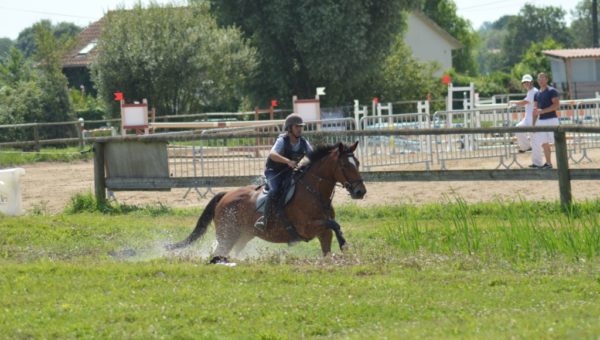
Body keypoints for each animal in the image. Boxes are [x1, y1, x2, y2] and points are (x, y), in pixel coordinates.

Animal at [166, 141, 368, 262]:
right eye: (344, 165)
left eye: (357, 163)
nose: (360, 191)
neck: (315, 192)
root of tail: (225, 195)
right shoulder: (307, 227)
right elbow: (334, 223)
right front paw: (344, 244)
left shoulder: (323, 233)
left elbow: (332, 233)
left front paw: (341, 247)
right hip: (227, 234)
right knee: (219, 251)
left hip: (244, 235)